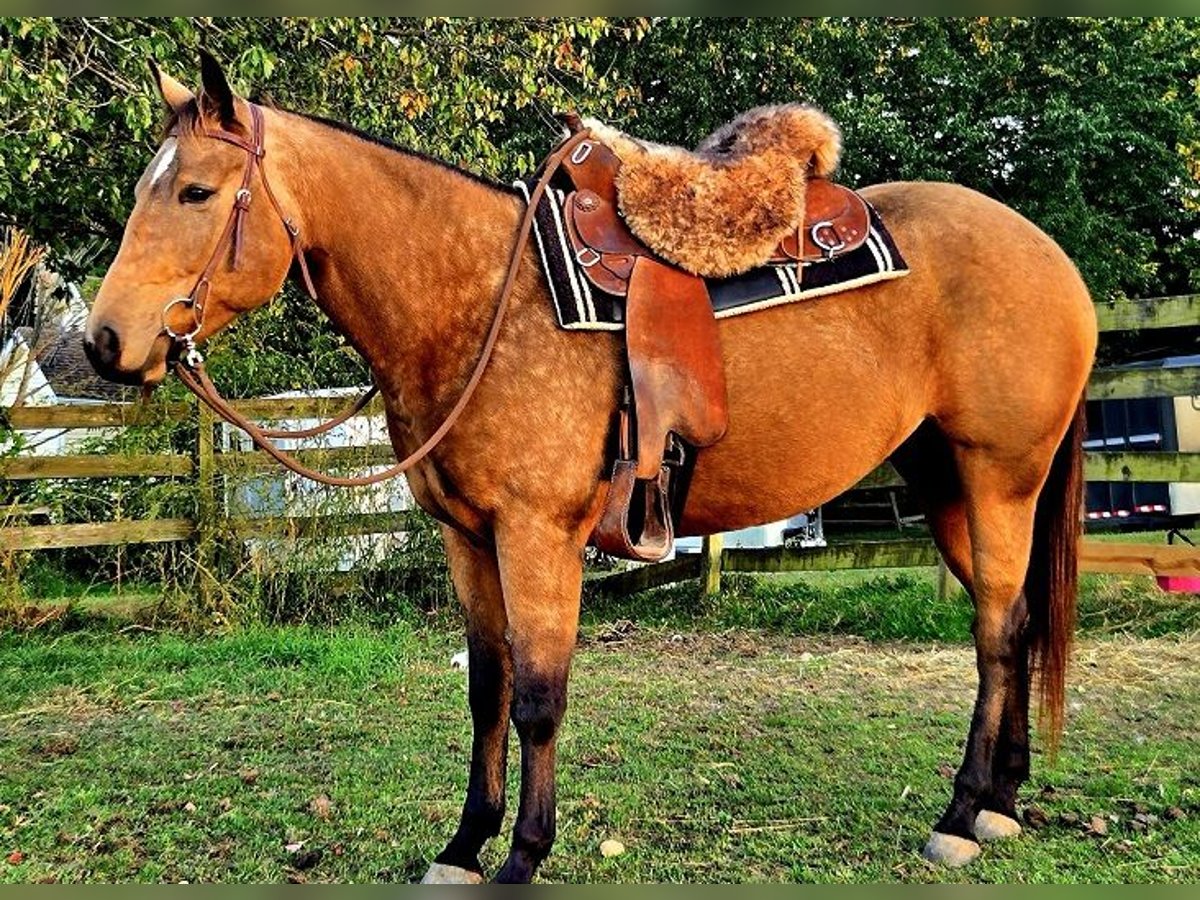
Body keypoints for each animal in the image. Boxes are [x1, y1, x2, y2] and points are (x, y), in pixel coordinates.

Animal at [84, 53, 1097, 883]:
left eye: (197, 193)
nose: (103, 343)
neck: (472, 302)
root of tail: (1050, 254)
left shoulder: (538, 536)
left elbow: (538, 697)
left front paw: (523, 855)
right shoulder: (467, 539)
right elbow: (487, 687)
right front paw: (463, 846)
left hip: (1000, 478)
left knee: (997, 633)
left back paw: (960, 817)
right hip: (948, 484)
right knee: (1012, 625)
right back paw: (1003, 803)